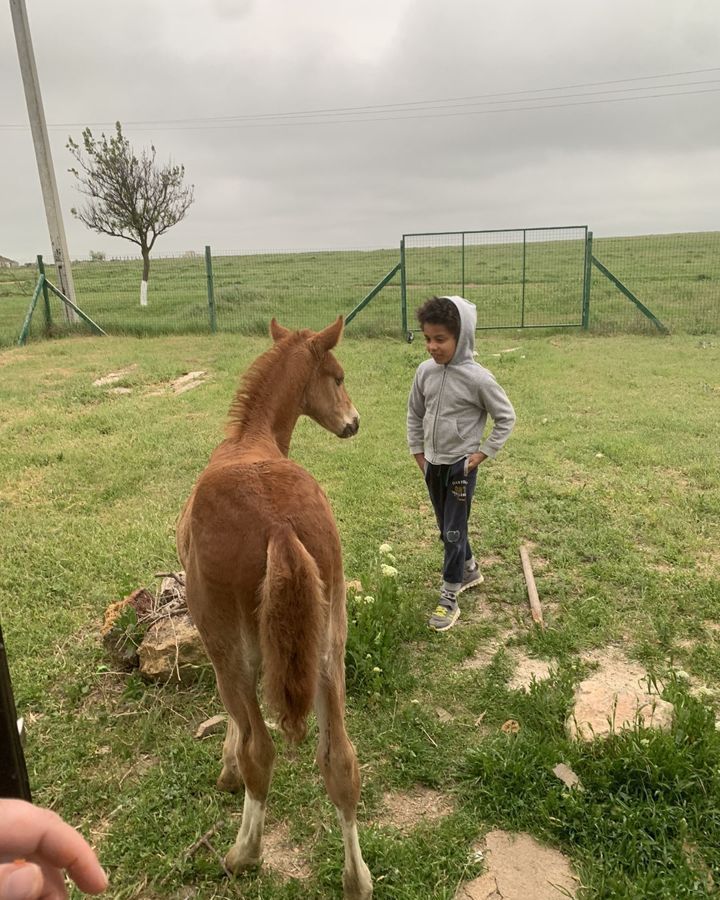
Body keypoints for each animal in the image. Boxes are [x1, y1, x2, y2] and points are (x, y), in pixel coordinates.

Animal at [177, 318, 374, 900]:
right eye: (338, 376)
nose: (354, 422)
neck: (249, 441)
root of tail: (279, 527)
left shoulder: (222, 646)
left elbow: (236, 724)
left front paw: (224, 767)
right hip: (329, 650)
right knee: (340, 763)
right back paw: (357, 879)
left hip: (229, 645)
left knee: (260, 752)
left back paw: (242, 854)